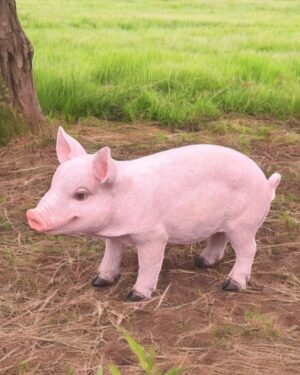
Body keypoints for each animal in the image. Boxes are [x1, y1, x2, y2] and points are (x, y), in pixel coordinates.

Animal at [26, 129, 282, 302]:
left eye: (81, 195)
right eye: (53, 184)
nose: (33, 215)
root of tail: (265, 183)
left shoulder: (154, 236)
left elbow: (149, 264)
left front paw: (135, 297)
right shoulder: (114, 237)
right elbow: (110, 256)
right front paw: (98, 282)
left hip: (244, 224)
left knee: (249, 249)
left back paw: (230, 286)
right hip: (222, 223)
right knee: (219, 238)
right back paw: (200, 262)